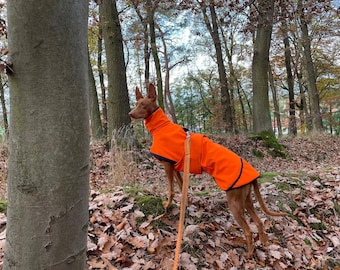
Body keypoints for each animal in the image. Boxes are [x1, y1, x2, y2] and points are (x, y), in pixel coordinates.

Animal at [129, 82, 288, 258]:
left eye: (143, 105)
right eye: (136, 103)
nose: (130, 114)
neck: (161, 126)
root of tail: (253, 176)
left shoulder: (168, 166)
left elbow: (171, 190)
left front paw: (167, 206)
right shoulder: (178, 168)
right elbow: (181, 187)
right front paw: (185, 204)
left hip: (234, 203)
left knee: (248, 230)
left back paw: (248, 254)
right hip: (246, 200)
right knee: (259, 222)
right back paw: (264, 244)